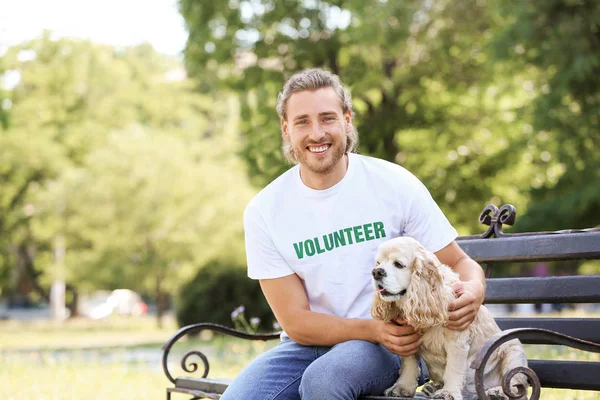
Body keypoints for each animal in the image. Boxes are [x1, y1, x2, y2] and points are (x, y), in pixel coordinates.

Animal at [368, 238, 528, 400]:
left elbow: (453, 369)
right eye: (378, 263)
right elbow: (408, 365)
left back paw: (498, 392)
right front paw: (402, 388)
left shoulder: (457, 340)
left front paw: (448, 393)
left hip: (513, 353)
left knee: (517, 387)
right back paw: (432, 387)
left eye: (398, 264)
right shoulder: (407, 339)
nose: (376, 272)